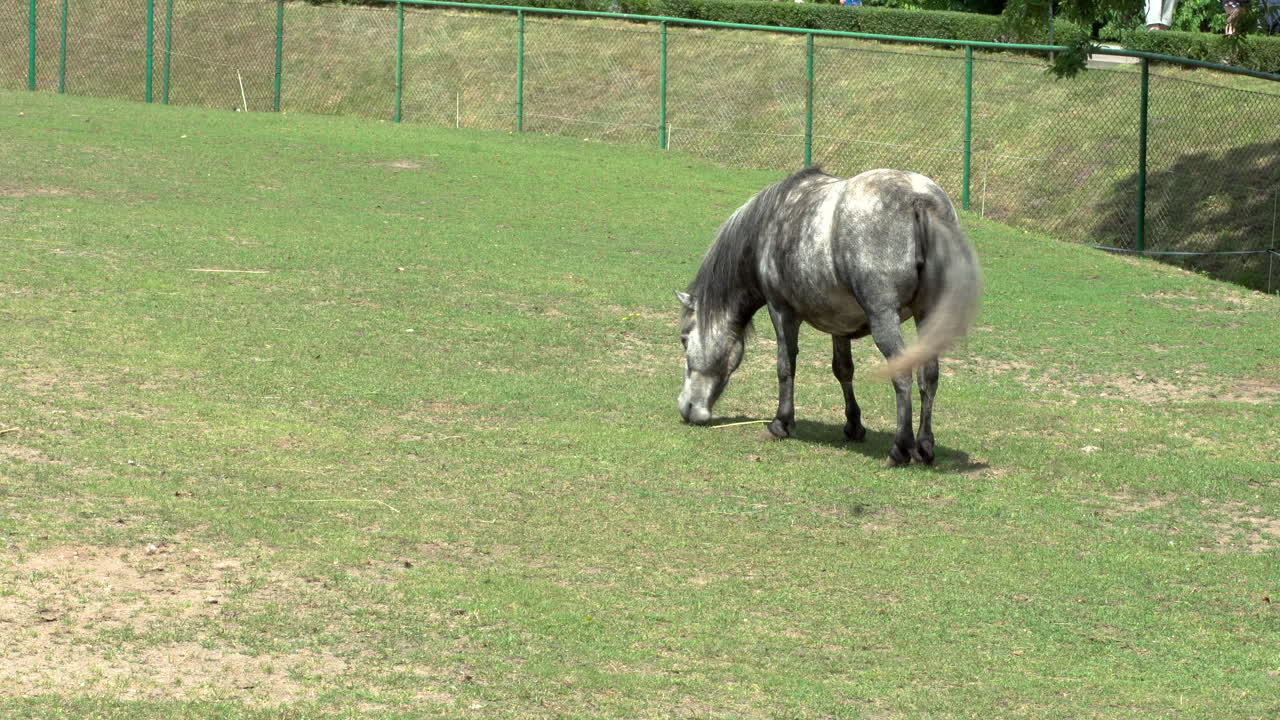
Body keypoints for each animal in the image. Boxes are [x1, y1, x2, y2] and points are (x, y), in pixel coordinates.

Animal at [676, 167, 981, 466]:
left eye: (683, 339)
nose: (686, 408)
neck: (768, 226)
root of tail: (919, 199)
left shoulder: (781, 310)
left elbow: (785, 365)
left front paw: (780, 423)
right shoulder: (840, 324)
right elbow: (843, 369)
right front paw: (853, 426)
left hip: (884, 318)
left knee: (902, 372)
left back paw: (900, 449)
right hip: (927, 315)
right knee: (928, 376)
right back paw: (924, 447)